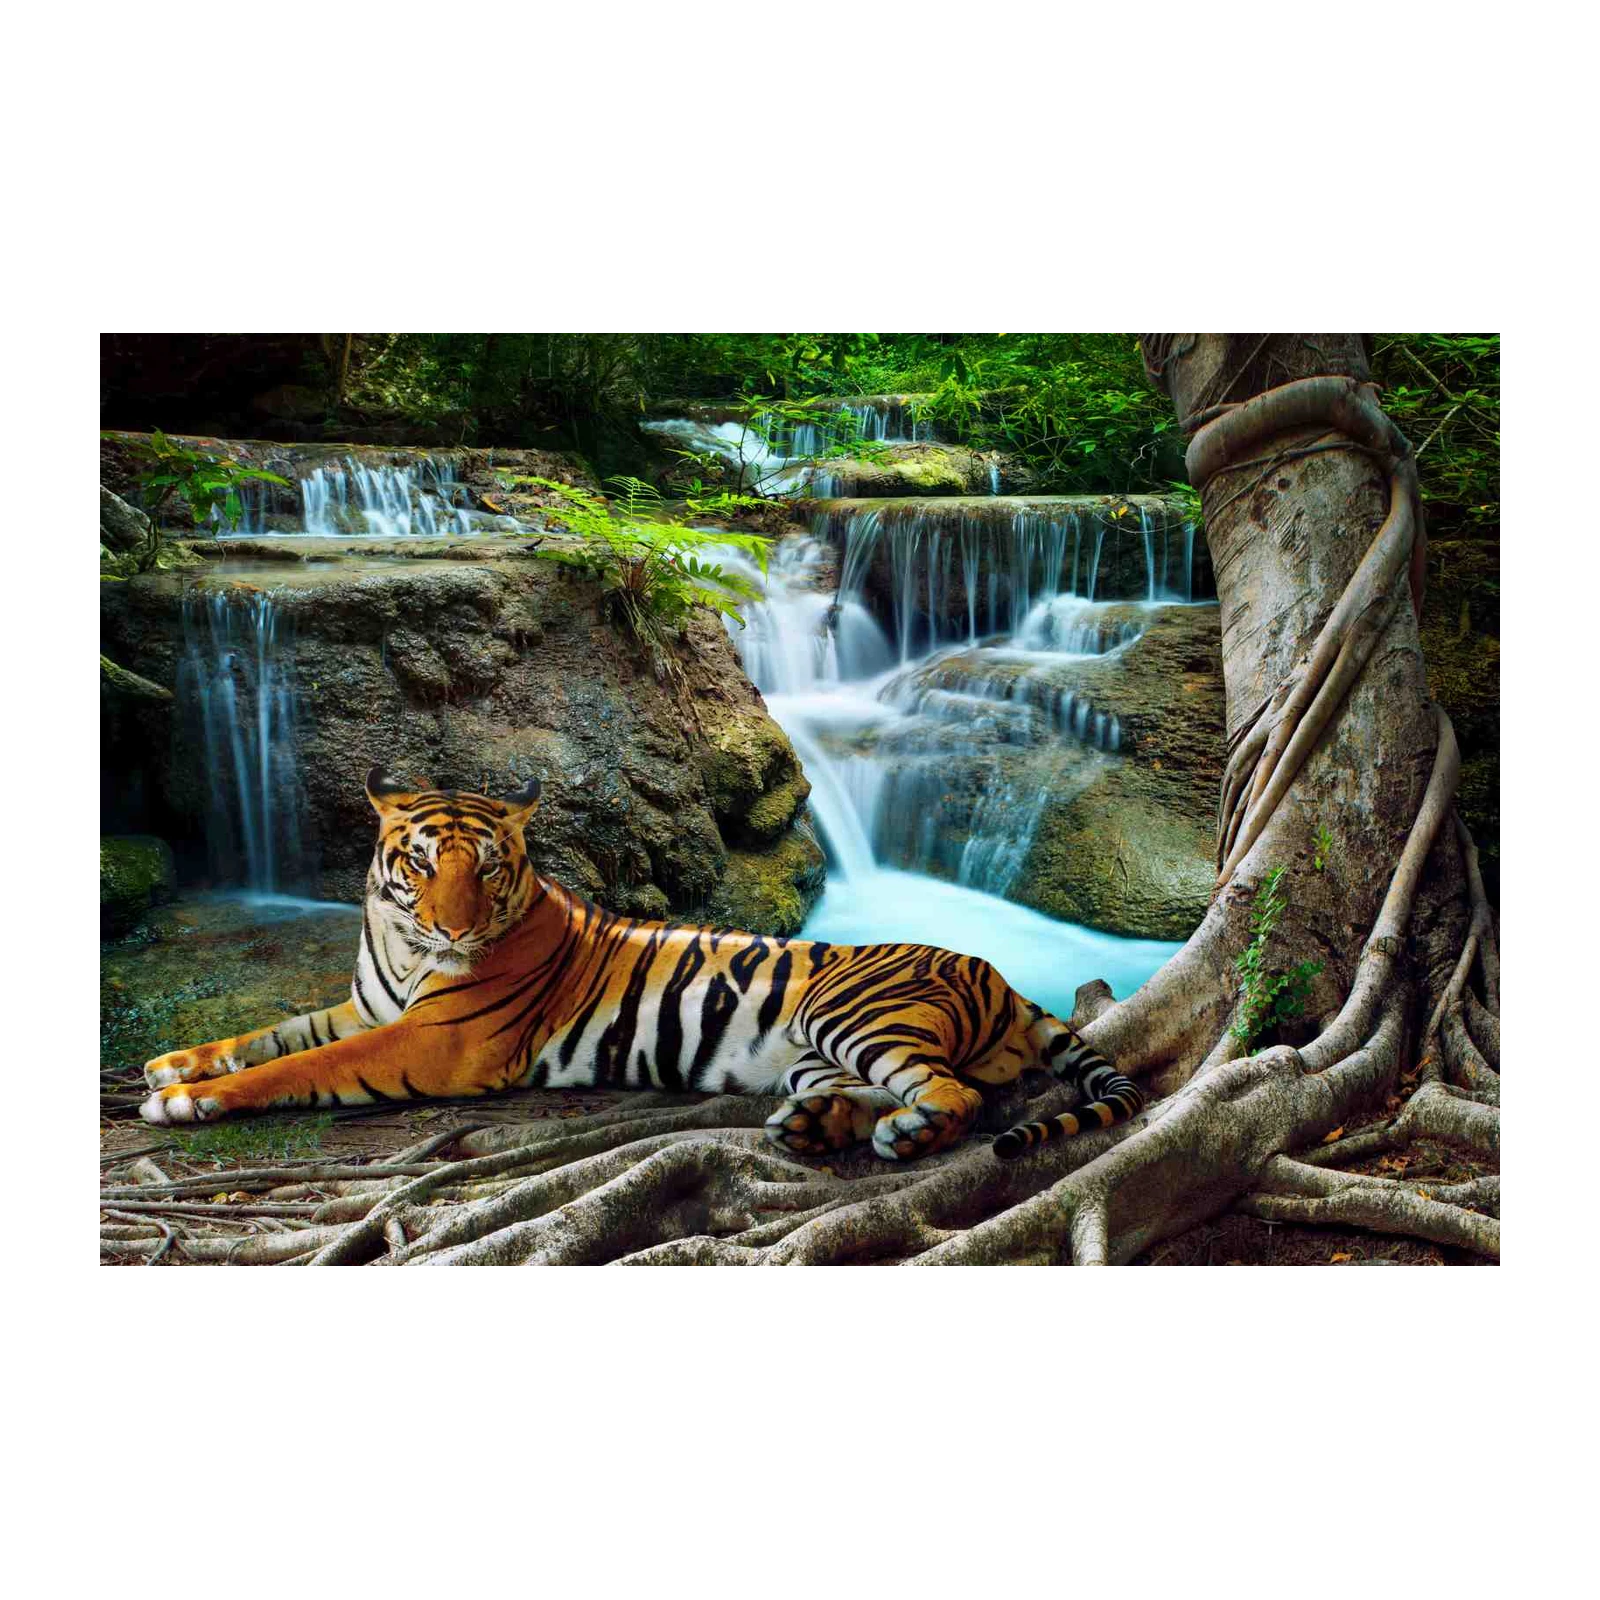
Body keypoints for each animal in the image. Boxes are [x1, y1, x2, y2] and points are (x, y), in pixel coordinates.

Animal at [140, 768, 1144, 1162]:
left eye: (488, 868)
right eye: (420, 864)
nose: (456, 929)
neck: (399, 942)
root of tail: (1002, 977)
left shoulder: (431, 1042)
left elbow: (300, 1065)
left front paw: (189, 1100)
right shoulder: (369, 1008)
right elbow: (274, 1033)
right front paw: (172, 1065)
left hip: (853, 1015)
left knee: (956, 1096)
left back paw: (898, 1134)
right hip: (817, 1052)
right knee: (883, 1092)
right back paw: (812, 1127)